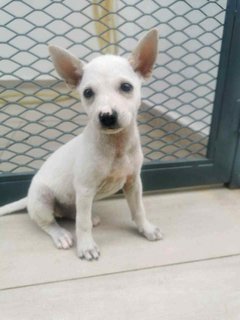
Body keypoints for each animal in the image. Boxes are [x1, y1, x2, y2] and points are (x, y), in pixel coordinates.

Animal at [0, 28, 163, 260]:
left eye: (126, 87)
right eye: (88, 93)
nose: (107, 116)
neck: (116, 145)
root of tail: (28, 199)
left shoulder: (133, 183)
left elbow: (138, 209)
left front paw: (146, 229)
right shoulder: (85, 189)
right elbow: (82, 224)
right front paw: (86, 246)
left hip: (74, 199)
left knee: (72, 213)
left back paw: (86, 216)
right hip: (43, 198)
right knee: (49, 222)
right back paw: (61, 235)